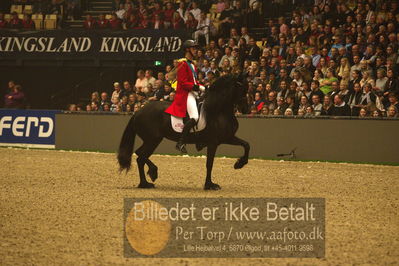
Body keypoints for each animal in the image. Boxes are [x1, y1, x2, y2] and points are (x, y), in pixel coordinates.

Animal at [118, 74, 250, 189]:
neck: (218, 111)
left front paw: (239, 164)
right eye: (241, 87)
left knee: (140, 156)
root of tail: (138, 112)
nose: (245, 108)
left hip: (152, 140)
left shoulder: (227, 138)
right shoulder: (213, 143)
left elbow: (246, 145)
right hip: (152, 140)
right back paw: (151, 175)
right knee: (140, 155)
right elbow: (209, 164)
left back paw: (146, 182)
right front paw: (209, 185)